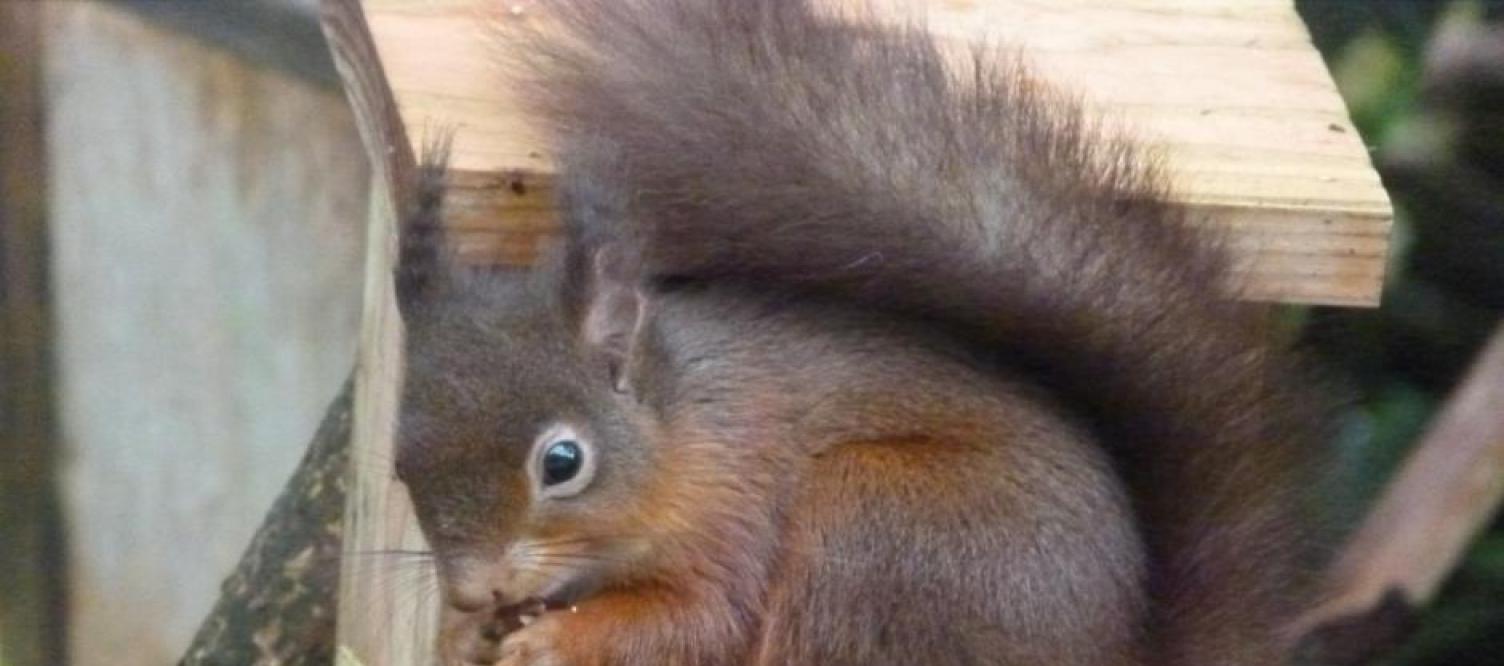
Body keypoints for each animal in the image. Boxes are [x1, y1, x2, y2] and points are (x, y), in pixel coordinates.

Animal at [391, 1, 1335, 665]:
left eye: (563, 462)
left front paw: (554, 638)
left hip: (877, 530)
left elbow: (699, 618)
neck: (678, 428)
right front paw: (464, 638)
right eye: (399, 462)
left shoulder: (735, 500)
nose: (472, 592)